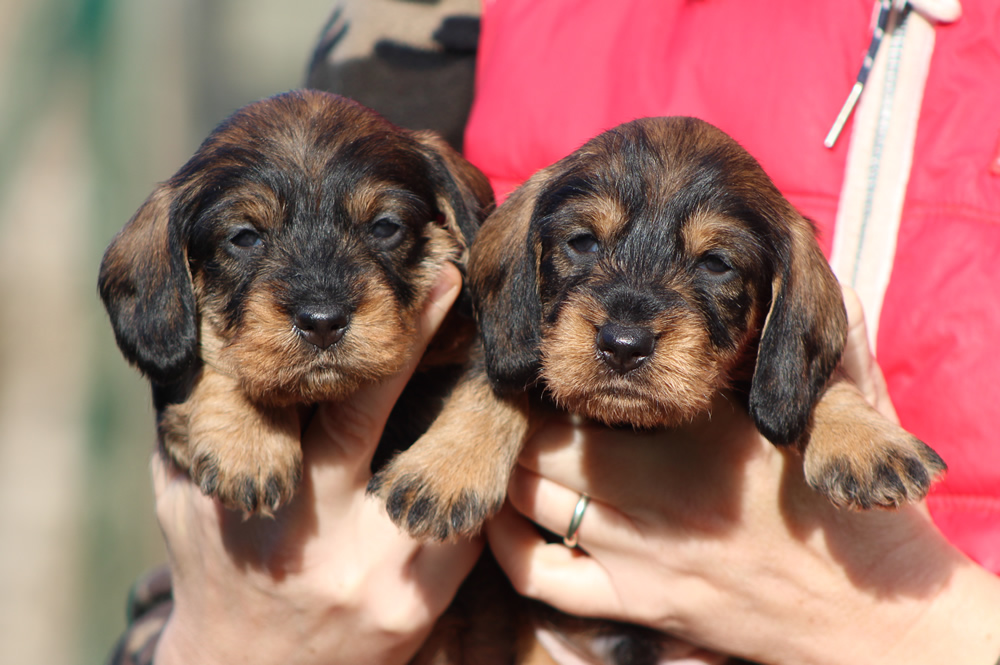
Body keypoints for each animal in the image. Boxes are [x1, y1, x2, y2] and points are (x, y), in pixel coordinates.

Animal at [370, 114, 944, 544]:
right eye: (583, 242)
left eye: (716, 264)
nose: (624, 346)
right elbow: (492, 381)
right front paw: (446, 467)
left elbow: (821, 381)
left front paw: (866, 440)